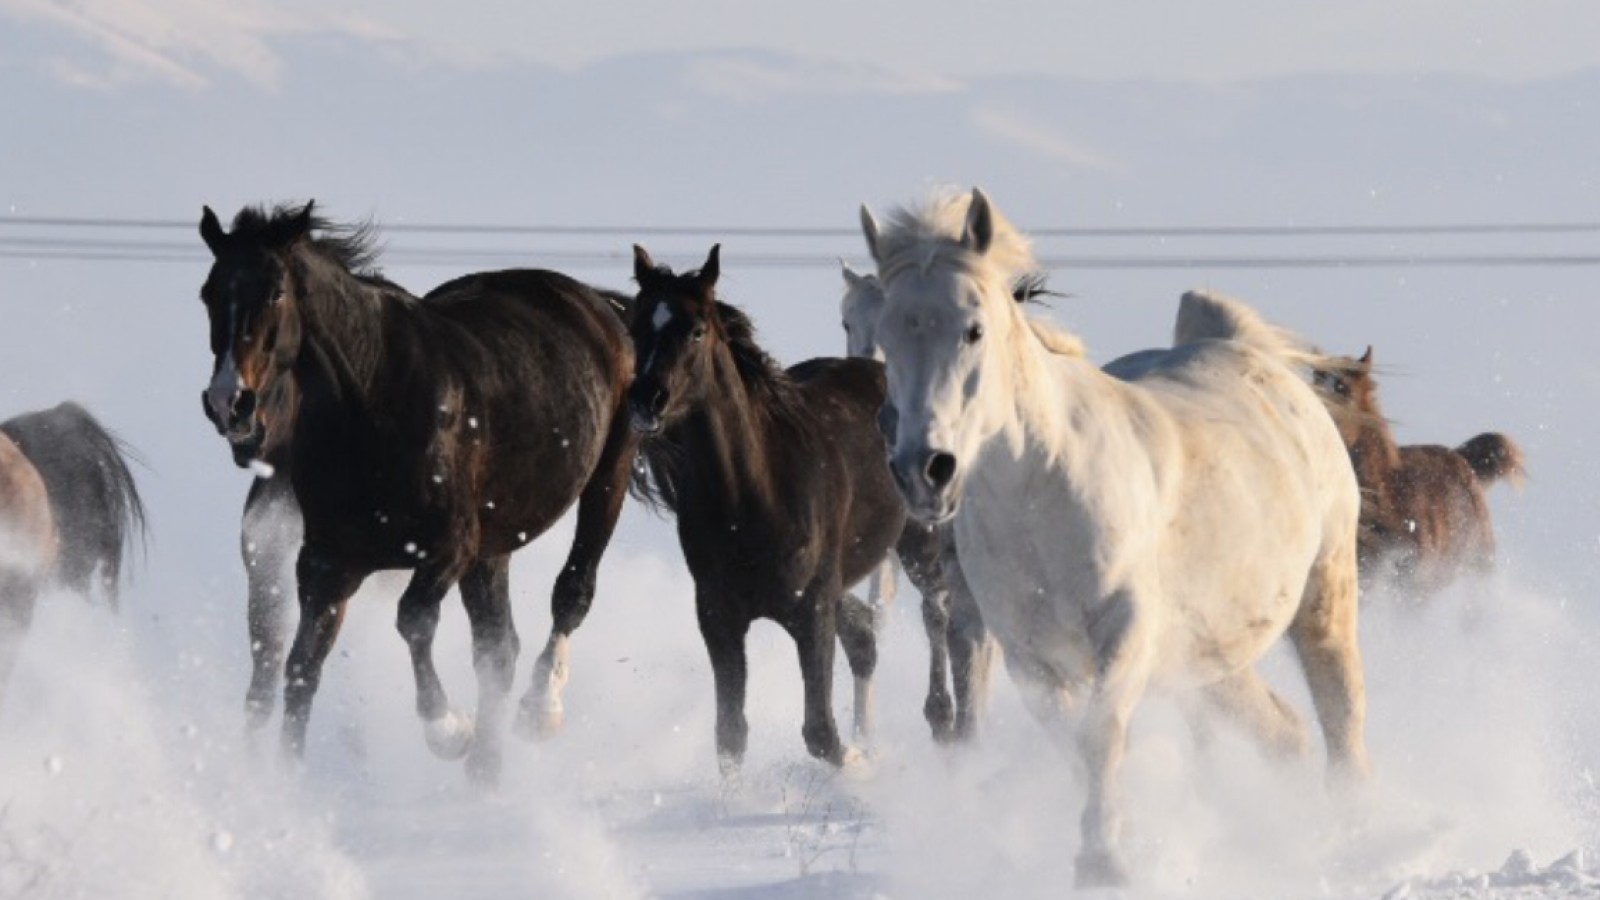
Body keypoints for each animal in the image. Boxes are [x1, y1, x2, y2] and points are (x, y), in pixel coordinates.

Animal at [203, 203, 640, 778]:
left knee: (572, 592)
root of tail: (597, 304)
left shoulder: (447, 549)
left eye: (276, 291)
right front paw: (286, 778)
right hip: (494, 545)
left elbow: (412, 620)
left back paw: (540, 708)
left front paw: (448, 730)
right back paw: (484, 774)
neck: (373, 406)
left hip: (609, 477)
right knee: (497, 647)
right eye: (208, 292)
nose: (228, 403)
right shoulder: (327, 565)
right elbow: (302, 666)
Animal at [624, 245, 921, 771]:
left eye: (696, 329)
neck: (753, 495)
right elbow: (730, 735)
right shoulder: (719, 617)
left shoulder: (812, 610)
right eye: (637, 327)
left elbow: (820, 732)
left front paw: (859, 768)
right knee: (865, 637)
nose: (646, 401)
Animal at [857, 187, 1369, 883]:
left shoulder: (1125, 631)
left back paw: (1351, 839)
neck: (1039, 493)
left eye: (973, 329)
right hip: (1209, 657)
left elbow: (1099, 737)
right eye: (887, 333)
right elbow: (1075, 745)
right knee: (1286, 734)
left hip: (1325, 596)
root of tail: (1249, 356)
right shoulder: (1031, 658)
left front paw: (1104, 865)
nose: (923, 470)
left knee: (1342, 718)